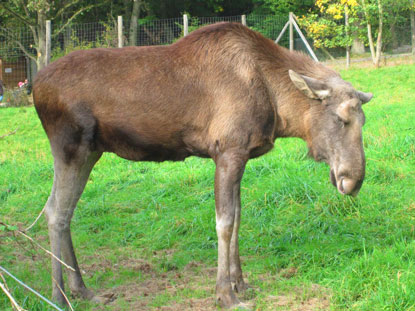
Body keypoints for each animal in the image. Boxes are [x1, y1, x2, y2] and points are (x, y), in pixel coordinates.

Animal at [32, 22, 372, 310]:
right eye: (340, 118)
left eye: (363, 120)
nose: (353, 180)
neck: (278, 108)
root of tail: (33, 87)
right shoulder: (227, 151)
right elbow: (225, 223)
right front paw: (226, 294)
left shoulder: (241, 155)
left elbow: (238, 218)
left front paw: (241, 284)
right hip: (71, 147)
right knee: (55, 212)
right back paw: (59, 296)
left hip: (90, 153)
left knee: (62, 211)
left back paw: (83, 290)